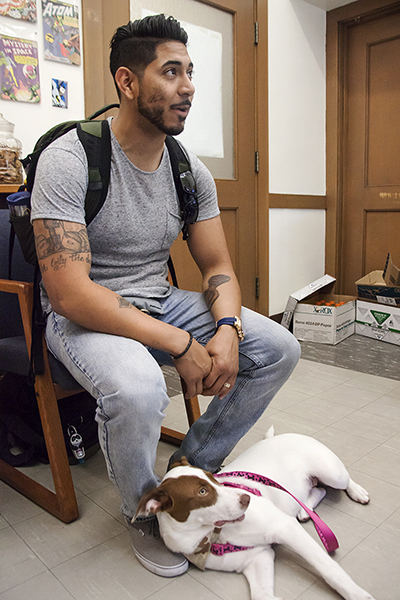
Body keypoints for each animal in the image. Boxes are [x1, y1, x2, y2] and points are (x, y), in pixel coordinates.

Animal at [136, 426, 376, 600]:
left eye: (214, 477)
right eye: (202, 492)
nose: (247, 498)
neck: (213, 535)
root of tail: (280, 436)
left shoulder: (285, 528)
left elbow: (329, 568)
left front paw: (358, 595)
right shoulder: (257, 557)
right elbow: (262, 595)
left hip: (332, 473)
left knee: (341, 481)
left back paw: (357, 491)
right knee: (318, 490)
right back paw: (304, 510)